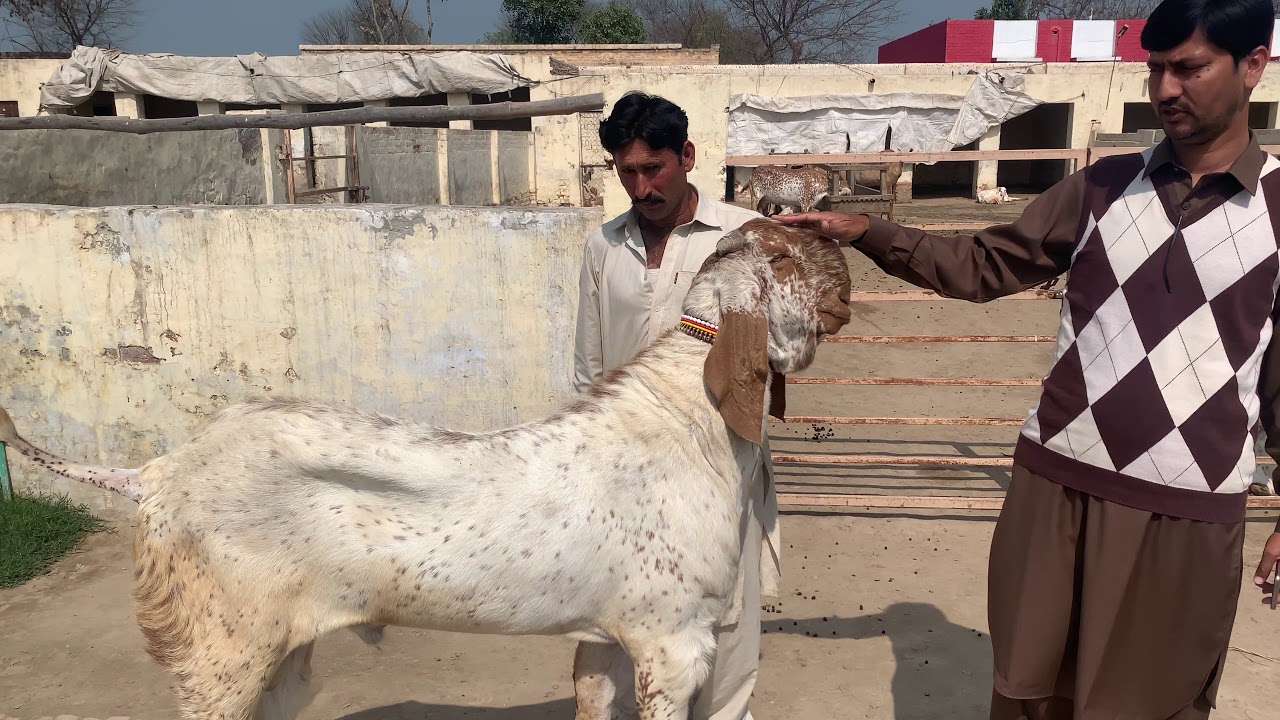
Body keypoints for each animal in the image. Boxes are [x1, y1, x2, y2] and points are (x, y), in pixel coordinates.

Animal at [0, 219, 852, 720]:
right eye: (782, 258)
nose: (841, 257)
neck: (690, 415)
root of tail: (157, 471)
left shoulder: (611, 635)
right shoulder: (672, 639)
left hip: (280, 651)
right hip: (221, 649)